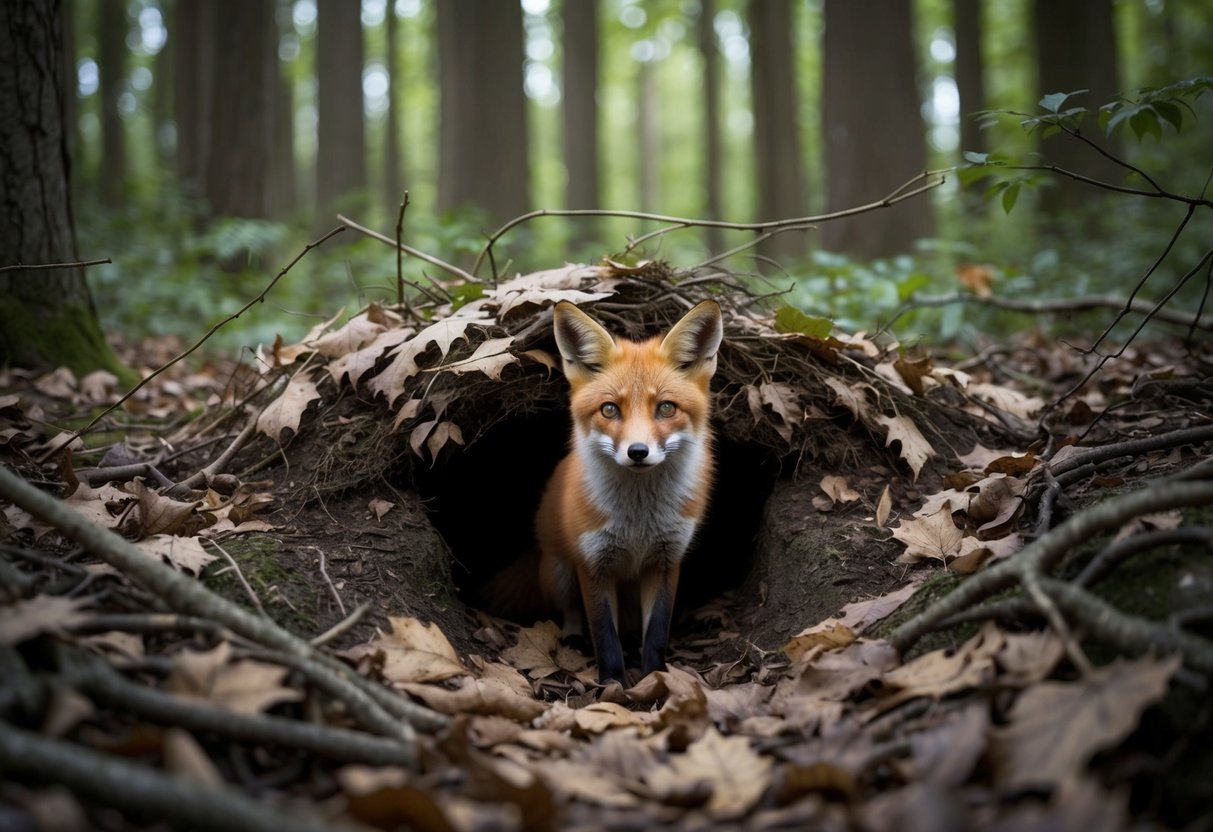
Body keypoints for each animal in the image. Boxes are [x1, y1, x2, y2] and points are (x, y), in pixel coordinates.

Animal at [533, 299, 723, 685]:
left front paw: (655, 679)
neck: (639, 522)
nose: (638, 452)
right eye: (610, 409)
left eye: (666, 407)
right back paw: (574, 637)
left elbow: (657, 633)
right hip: (558, 571)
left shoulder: (666, 562)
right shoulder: (593, 564)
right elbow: (605, 634)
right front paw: (612, 684)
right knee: (570, 611)